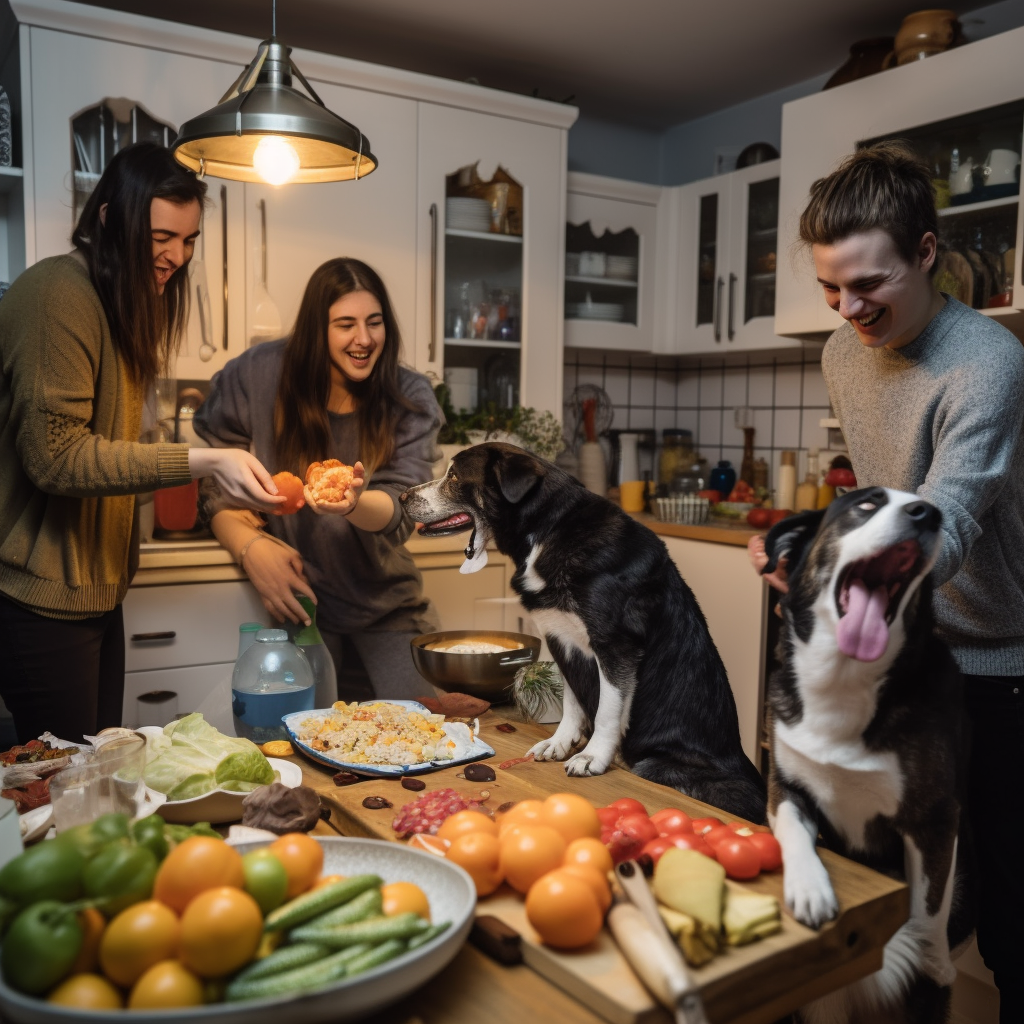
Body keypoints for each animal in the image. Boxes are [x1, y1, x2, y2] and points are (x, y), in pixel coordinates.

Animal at [399, 442, 770, 823]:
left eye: (454, 476)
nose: (402, 496)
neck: (547, 532)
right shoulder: (563, 642)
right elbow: (573, 701)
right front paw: (560, 742)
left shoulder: (615, 647)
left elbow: (607, 709)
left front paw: (593, 756)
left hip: (664, 766)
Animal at [761, 487, 974, 1024]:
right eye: (865, 505)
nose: (928, 514)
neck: (844, 677)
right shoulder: (785, 788)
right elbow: (793, 832)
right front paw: (810, 890)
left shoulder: (934, 820)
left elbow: (927, 907)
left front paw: (927, 959)